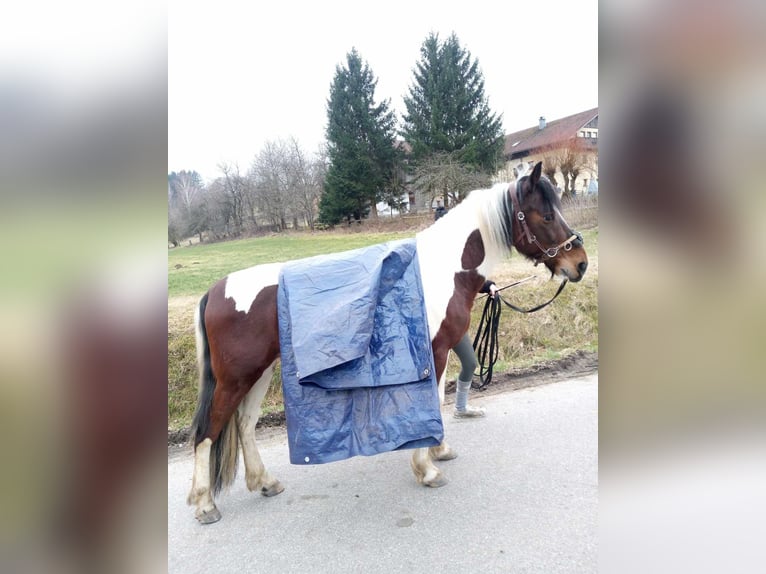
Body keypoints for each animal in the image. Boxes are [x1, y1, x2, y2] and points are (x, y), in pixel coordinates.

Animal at [186, 162, 588, 528]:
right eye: (547, 215)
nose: (580, 263)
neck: (439, 270)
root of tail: (214, 291)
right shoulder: (434, 351)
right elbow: (432, 402)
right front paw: (427, 468)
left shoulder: (436, 351)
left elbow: (437, 400)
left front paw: (438, 450)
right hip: (237, 377)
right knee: (207, 432)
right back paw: (205, 505)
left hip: (261, 371)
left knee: (244, 424)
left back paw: (265, 482)